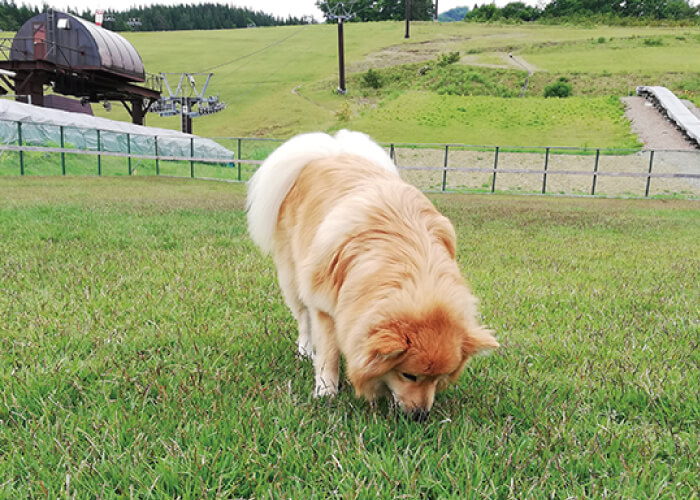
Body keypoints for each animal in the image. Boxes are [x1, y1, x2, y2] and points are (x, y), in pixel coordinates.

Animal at [246, 131, 498, 420]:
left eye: (438, 378)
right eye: (409, 375)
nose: (421, 415)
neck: (410, 264)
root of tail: (330, 152)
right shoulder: (326, 307)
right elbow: (329, 354)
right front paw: (326, 391)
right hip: (294, 279)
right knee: (303, 319)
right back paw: (304, 350)